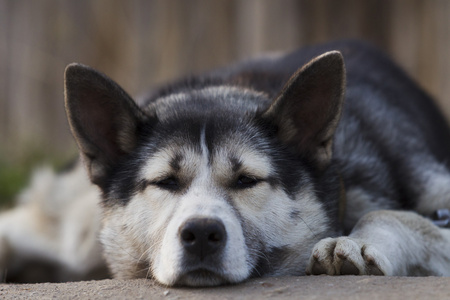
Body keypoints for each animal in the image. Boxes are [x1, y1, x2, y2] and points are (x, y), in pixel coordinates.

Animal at [0, 40, 450, 286]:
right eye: (165, 182)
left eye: (247, 180)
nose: (201, 233)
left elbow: (396, 215)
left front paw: (358, 241)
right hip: (76, 235)